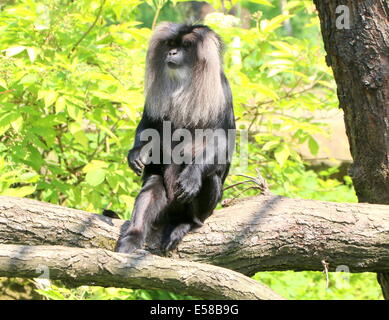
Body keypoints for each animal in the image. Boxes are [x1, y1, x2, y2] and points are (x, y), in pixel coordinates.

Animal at [115, 21, 235, 252]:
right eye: (171, 44)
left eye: (185, 47)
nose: (172, 52)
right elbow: (147, 126)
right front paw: (137, 153)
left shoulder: (222, 92)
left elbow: (222, 141)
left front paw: (192, 175)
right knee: (152, 186)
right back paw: (133, 237)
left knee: (209, 179)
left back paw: (185, 223)